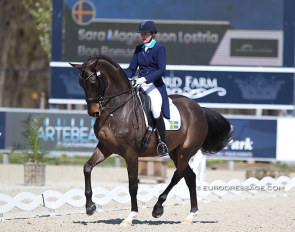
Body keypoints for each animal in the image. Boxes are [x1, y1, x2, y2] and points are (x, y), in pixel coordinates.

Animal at [70, 55, 232, 226]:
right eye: (81, 83)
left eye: (93, 81)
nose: (93, 111)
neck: (117, 110)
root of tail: (199, 108)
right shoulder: (105, 147)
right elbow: (87, 168)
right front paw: (90, 207)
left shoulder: (131, 153)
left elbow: (133, 184)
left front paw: (131, 216)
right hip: (176, 152)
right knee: (189, 177)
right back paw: (190, 215)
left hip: (186, 151)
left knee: (177, 175)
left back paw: (158, 208)